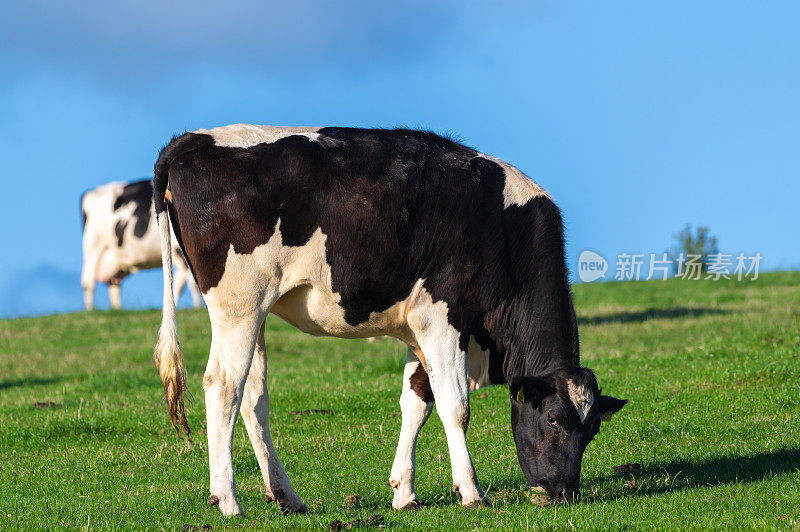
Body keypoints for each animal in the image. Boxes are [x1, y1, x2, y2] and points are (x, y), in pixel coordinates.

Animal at [80, 180, 203, 310]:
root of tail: (91, 192)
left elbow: (179, 284)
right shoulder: (180, 250)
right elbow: (192, 282)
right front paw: (198, 308)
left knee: (113, 288)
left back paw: (117, 309)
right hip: (93, 247)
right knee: (88, 282)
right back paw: (90, 310)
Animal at [150, 123, 624, 516]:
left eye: (594, 429)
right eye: (554, 419)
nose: (564, 492)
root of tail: (195, 139)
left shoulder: (418, 328)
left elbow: (417, 403)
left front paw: (405, 493)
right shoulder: (443, 317)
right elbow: (455, 406)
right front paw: (471, 492)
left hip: (258, 313)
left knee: (253, 399)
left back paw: (288, 498)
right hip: (239, 306)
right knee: (223, 387)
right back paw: (228, 500)